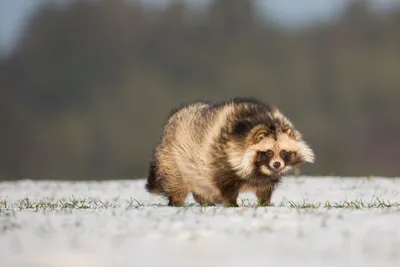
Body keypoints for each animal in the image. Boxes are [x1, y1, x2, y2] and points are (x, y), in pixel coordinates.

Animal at [145, 98, 314, 207]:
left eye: (284, 151)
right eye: (268, 152)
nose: (277, 164)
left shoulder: (266, 177)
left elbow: (265, 189)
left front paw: (265, 203)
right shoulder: (220, 159)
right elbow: (226, 187)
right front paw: (232, 204)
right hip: (173, 161)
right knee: (176, 184)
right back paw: (177, 202)